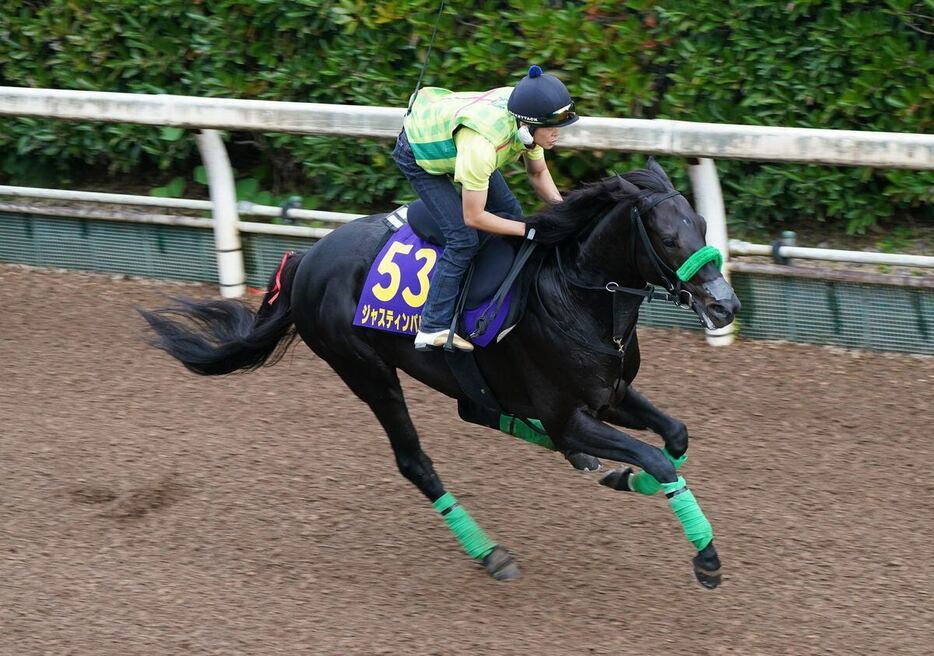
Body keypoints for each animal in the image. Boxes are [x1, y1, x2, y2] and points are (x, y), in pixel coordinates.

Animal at [141, 160, 740, 588]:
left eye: (703, 224)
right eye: (668, 238)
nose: (726, 305)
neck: (573, 292)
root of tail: (305, 262)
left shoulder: (611, 393)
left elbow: (674, 437)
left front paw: (621, 474)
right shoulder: (568, 414)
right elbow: (657, 459)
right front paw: (706, 558)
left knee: (476, 407)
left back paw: (580, 462)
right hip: (367, 372)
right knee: (416, 460)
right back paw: (491, 552)